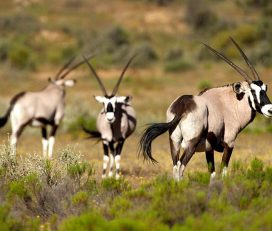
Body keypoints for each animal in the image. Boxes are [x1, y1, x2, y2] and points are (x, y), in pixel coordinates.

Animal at [139, 38, 272, 181]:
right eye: (253, 91)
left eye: (265, 88)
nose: (270, 109)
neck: (229, 104)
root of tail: (183, 105)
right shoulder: (228, 143)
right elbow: (220, 172)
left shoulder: (209, 148)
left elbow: (212, 172)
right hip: (191, 143)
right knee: (181, 166)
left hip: (175, 141)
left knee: (175, 166)